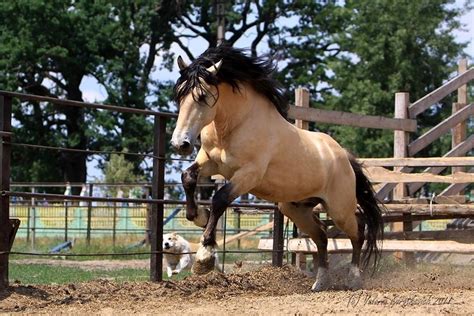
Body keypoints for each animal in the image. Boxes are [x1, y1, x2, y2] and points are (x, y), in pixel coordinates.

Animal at [170, 45, 386, 292]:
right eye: (179, 95)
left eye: (203, 96)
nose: (180, 144)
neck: (237, 125)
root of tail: (345, 157)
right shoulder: (210, 163)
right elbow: (187, 177)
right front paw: (199, 216)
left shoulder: (249, 174)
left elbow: (220, 198)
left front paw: (204, 257)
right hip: (296, 209)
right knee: (322, 236)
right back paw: (320, 283)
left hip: (339, 209)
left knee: (357, 232)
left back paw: (354, 279)